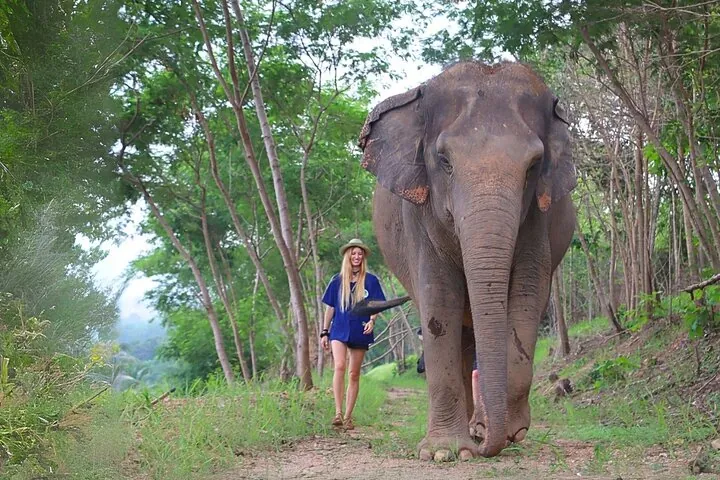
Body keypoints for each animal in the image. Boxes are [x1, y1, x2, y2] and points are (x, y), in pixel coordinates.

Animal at [357, 61, 577, 459]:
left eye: (534, 165)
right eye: (444, 161)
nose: (491, 445)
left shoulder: (538, 220)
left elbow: (527, 296)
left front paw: (510, 432)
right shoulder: (418, 216)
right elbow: (439, 300)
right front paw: (443, 452)